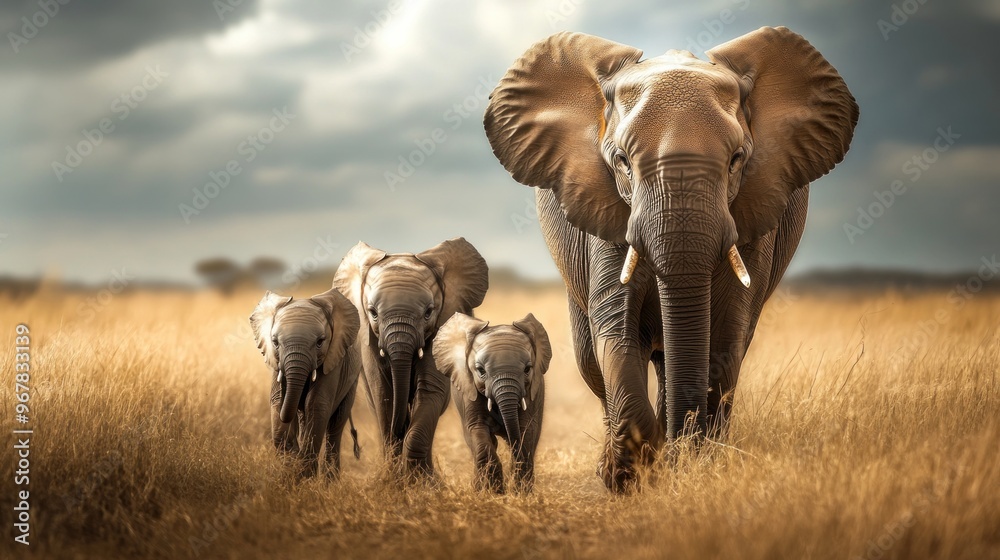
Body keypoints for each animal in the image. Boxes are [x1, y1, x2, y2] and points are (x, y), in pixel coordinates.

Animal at [249, 287, 362, 479]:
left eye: (320, 342)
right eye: (275, 342)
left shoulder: (333, 358)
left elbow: (316, 403)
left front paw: (303, 475)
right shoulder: (275, 362)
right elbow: (278, 401)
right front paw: (291, 467)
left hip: (352, 380)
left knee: (336, 424)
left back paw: (329, 481)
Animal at [333, 237, 489, 477]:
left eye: (428, 313)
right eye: (373, 313)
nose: (400, 429)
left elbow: (429, 389)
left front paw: (422, 481)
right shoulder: (368, 338)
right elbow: (382, 392)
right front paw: (393, 478)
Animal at [433, 312, 552, 493]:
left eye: (527, 369)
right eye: (480, 370)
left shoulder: (534, 392)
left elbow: (527, 431)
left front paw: (520, 493)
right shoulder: (468, 391)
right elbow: (477, 431)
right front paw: (495, 493)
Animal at [484, 27, 858, 491]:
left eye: (736, 160)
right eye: (622, 161)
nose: (679, 447)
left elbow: (724, 337)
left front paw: (690, 464)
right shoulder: (605, 212)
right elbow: (615, 332)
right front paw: (632, 475)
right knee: (592, 360)